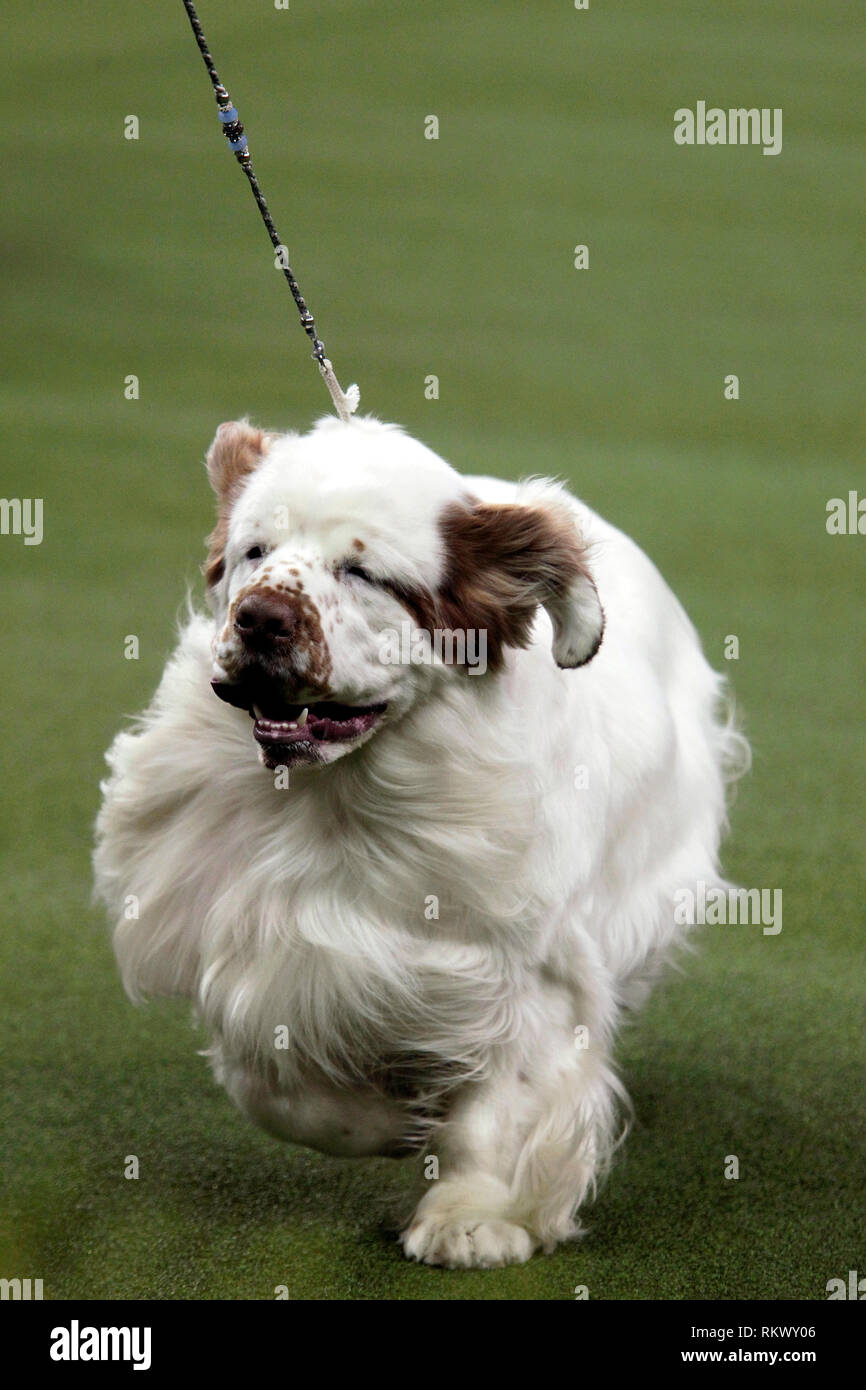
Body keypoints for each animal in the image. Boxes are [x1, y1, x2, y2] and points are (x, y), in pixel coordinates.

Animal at [93, 414, 745, 1273]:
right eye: (254, 552)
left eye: (364, 574)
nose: (261, 616)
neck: (341, 800)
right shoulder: (265, 951)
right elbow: (277, 1090)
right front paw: (389, 1120)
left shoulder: (524, 969)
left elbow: (505, 1107)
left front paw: (475, 1218)